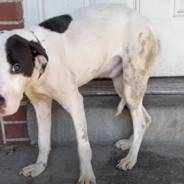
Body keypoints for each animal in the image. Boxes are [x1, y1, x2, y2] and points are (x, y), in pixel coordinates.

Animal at [0, 2, 161, 184]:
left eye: (17, 67)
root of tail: (148, 23)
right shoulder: (40, 104)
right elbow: (42, 140)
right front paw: (39, 166)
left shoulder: (75, 102)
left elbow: (83, 147)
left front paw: (86, 175)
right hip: (124, 86)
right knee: (145, 118)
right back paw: (129, 143)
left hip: (132, 83)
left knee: (140, 121)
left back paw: (131, 158)